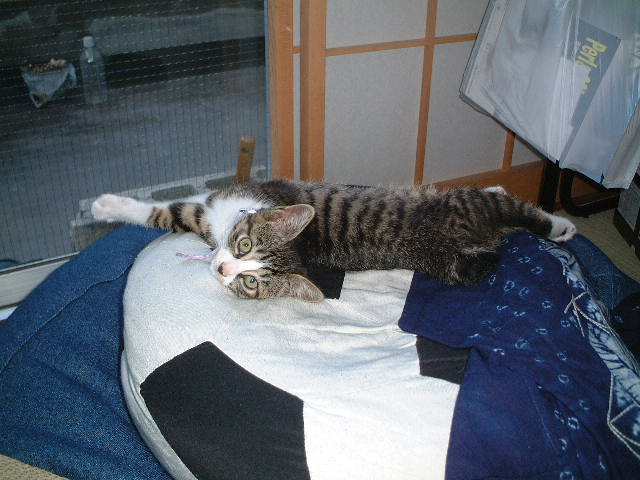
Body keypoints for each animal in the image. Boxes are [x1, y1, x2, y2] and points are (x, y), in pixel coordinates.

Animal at [91, 179, 576, 302]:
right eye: (244, 247)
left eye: (252, 281)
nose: (224, 267)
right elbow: (171, 214)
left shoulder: (216, 206)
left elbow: (166, 212)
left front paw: (103, 206)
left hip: (463, 204)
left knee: (517, 213)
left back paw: (561, 226)